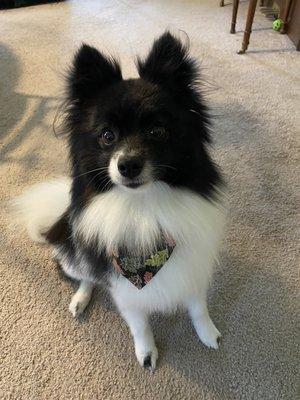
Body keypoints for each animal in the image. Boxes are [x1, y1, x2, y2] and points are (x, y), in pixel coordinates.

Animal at [13, 32, 225, 372]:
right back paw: (80, 300)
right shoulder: (124, 286)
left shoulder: (192, 262)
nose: (128, 165)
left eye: (157, 130)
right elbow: (139, 324)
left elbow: (198, 305)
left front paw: (207, 333)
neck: (144, 206)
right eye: (107, 136)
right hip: (76, 257)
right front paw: (147, 353)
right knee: (87, 277)